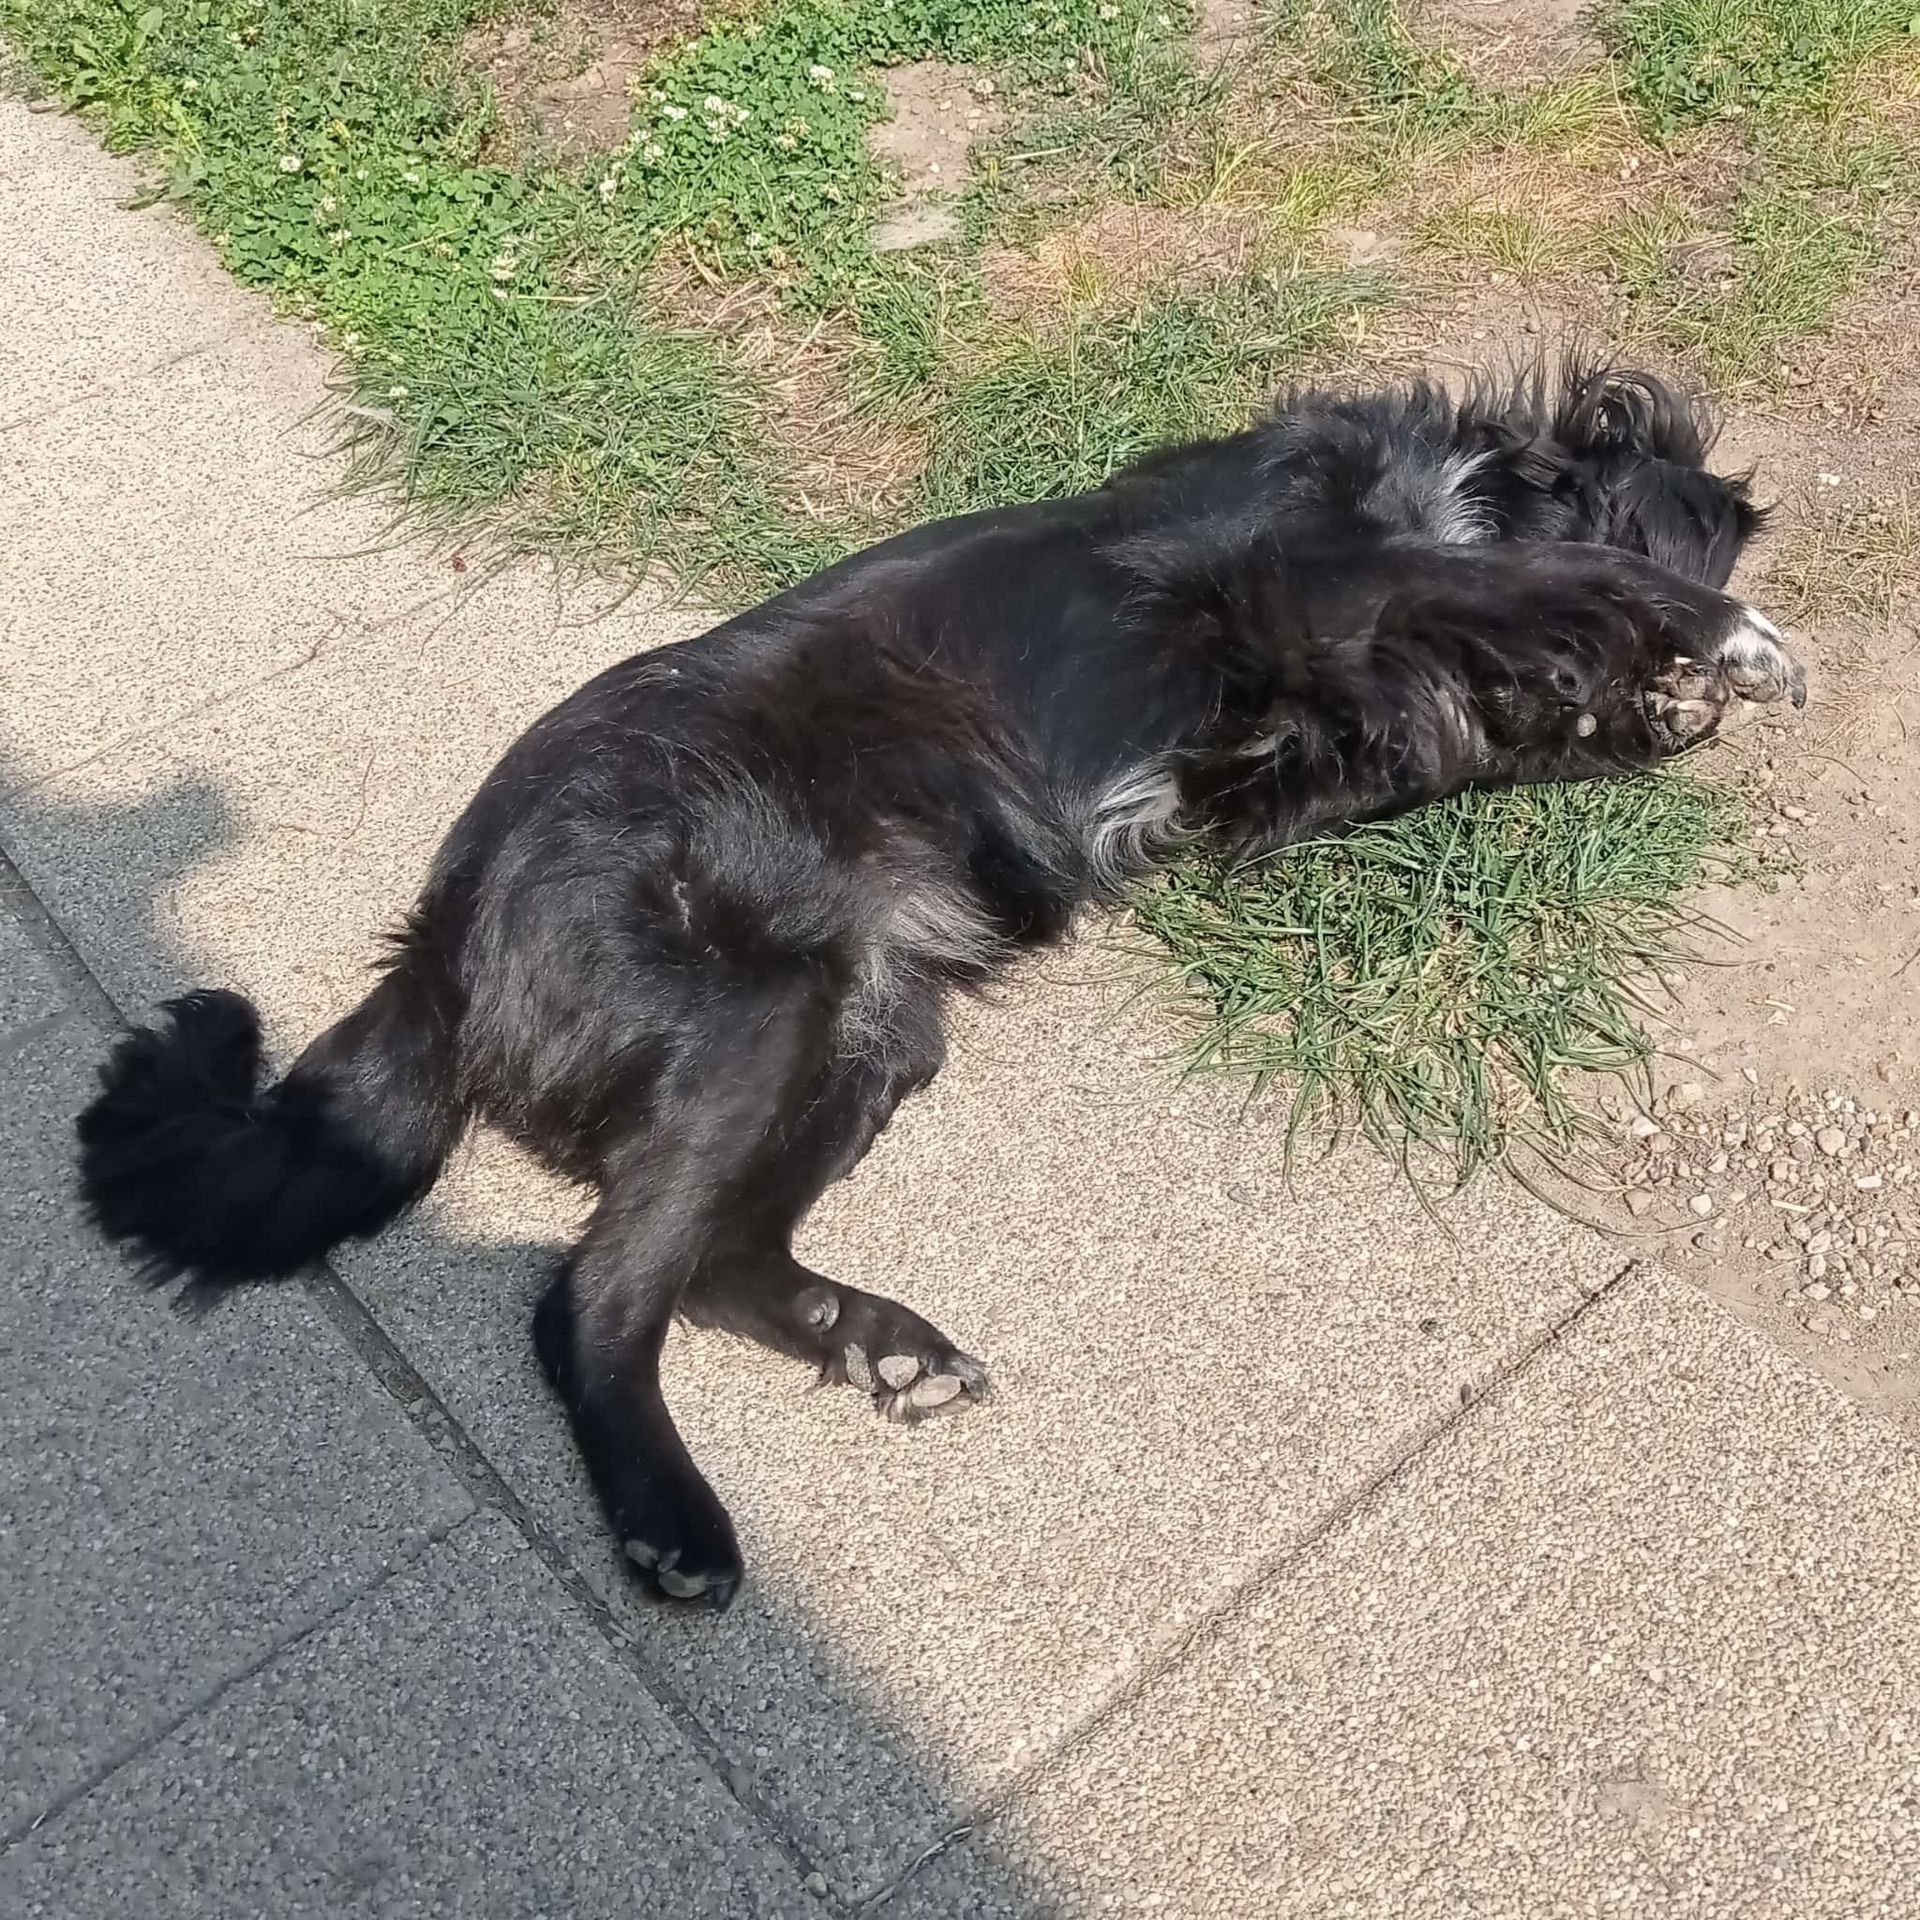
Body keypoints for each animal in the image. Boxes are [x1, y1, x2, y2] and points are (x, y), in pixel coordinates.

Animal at [77, 361, 1804, 1608]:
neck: (1453, 483)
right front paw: (1727, 638)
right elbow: (1554, 577)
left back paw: (871, 1340)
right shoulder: (1321, 587)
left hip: (869, 1033)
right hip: (753, 1019)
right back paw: (674, 1519)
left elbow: (1465, 719)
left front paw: (1629, 711)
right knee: (594, 1297)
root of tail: (441, 938)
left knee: (709, 1262)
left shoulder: (1286, 770)